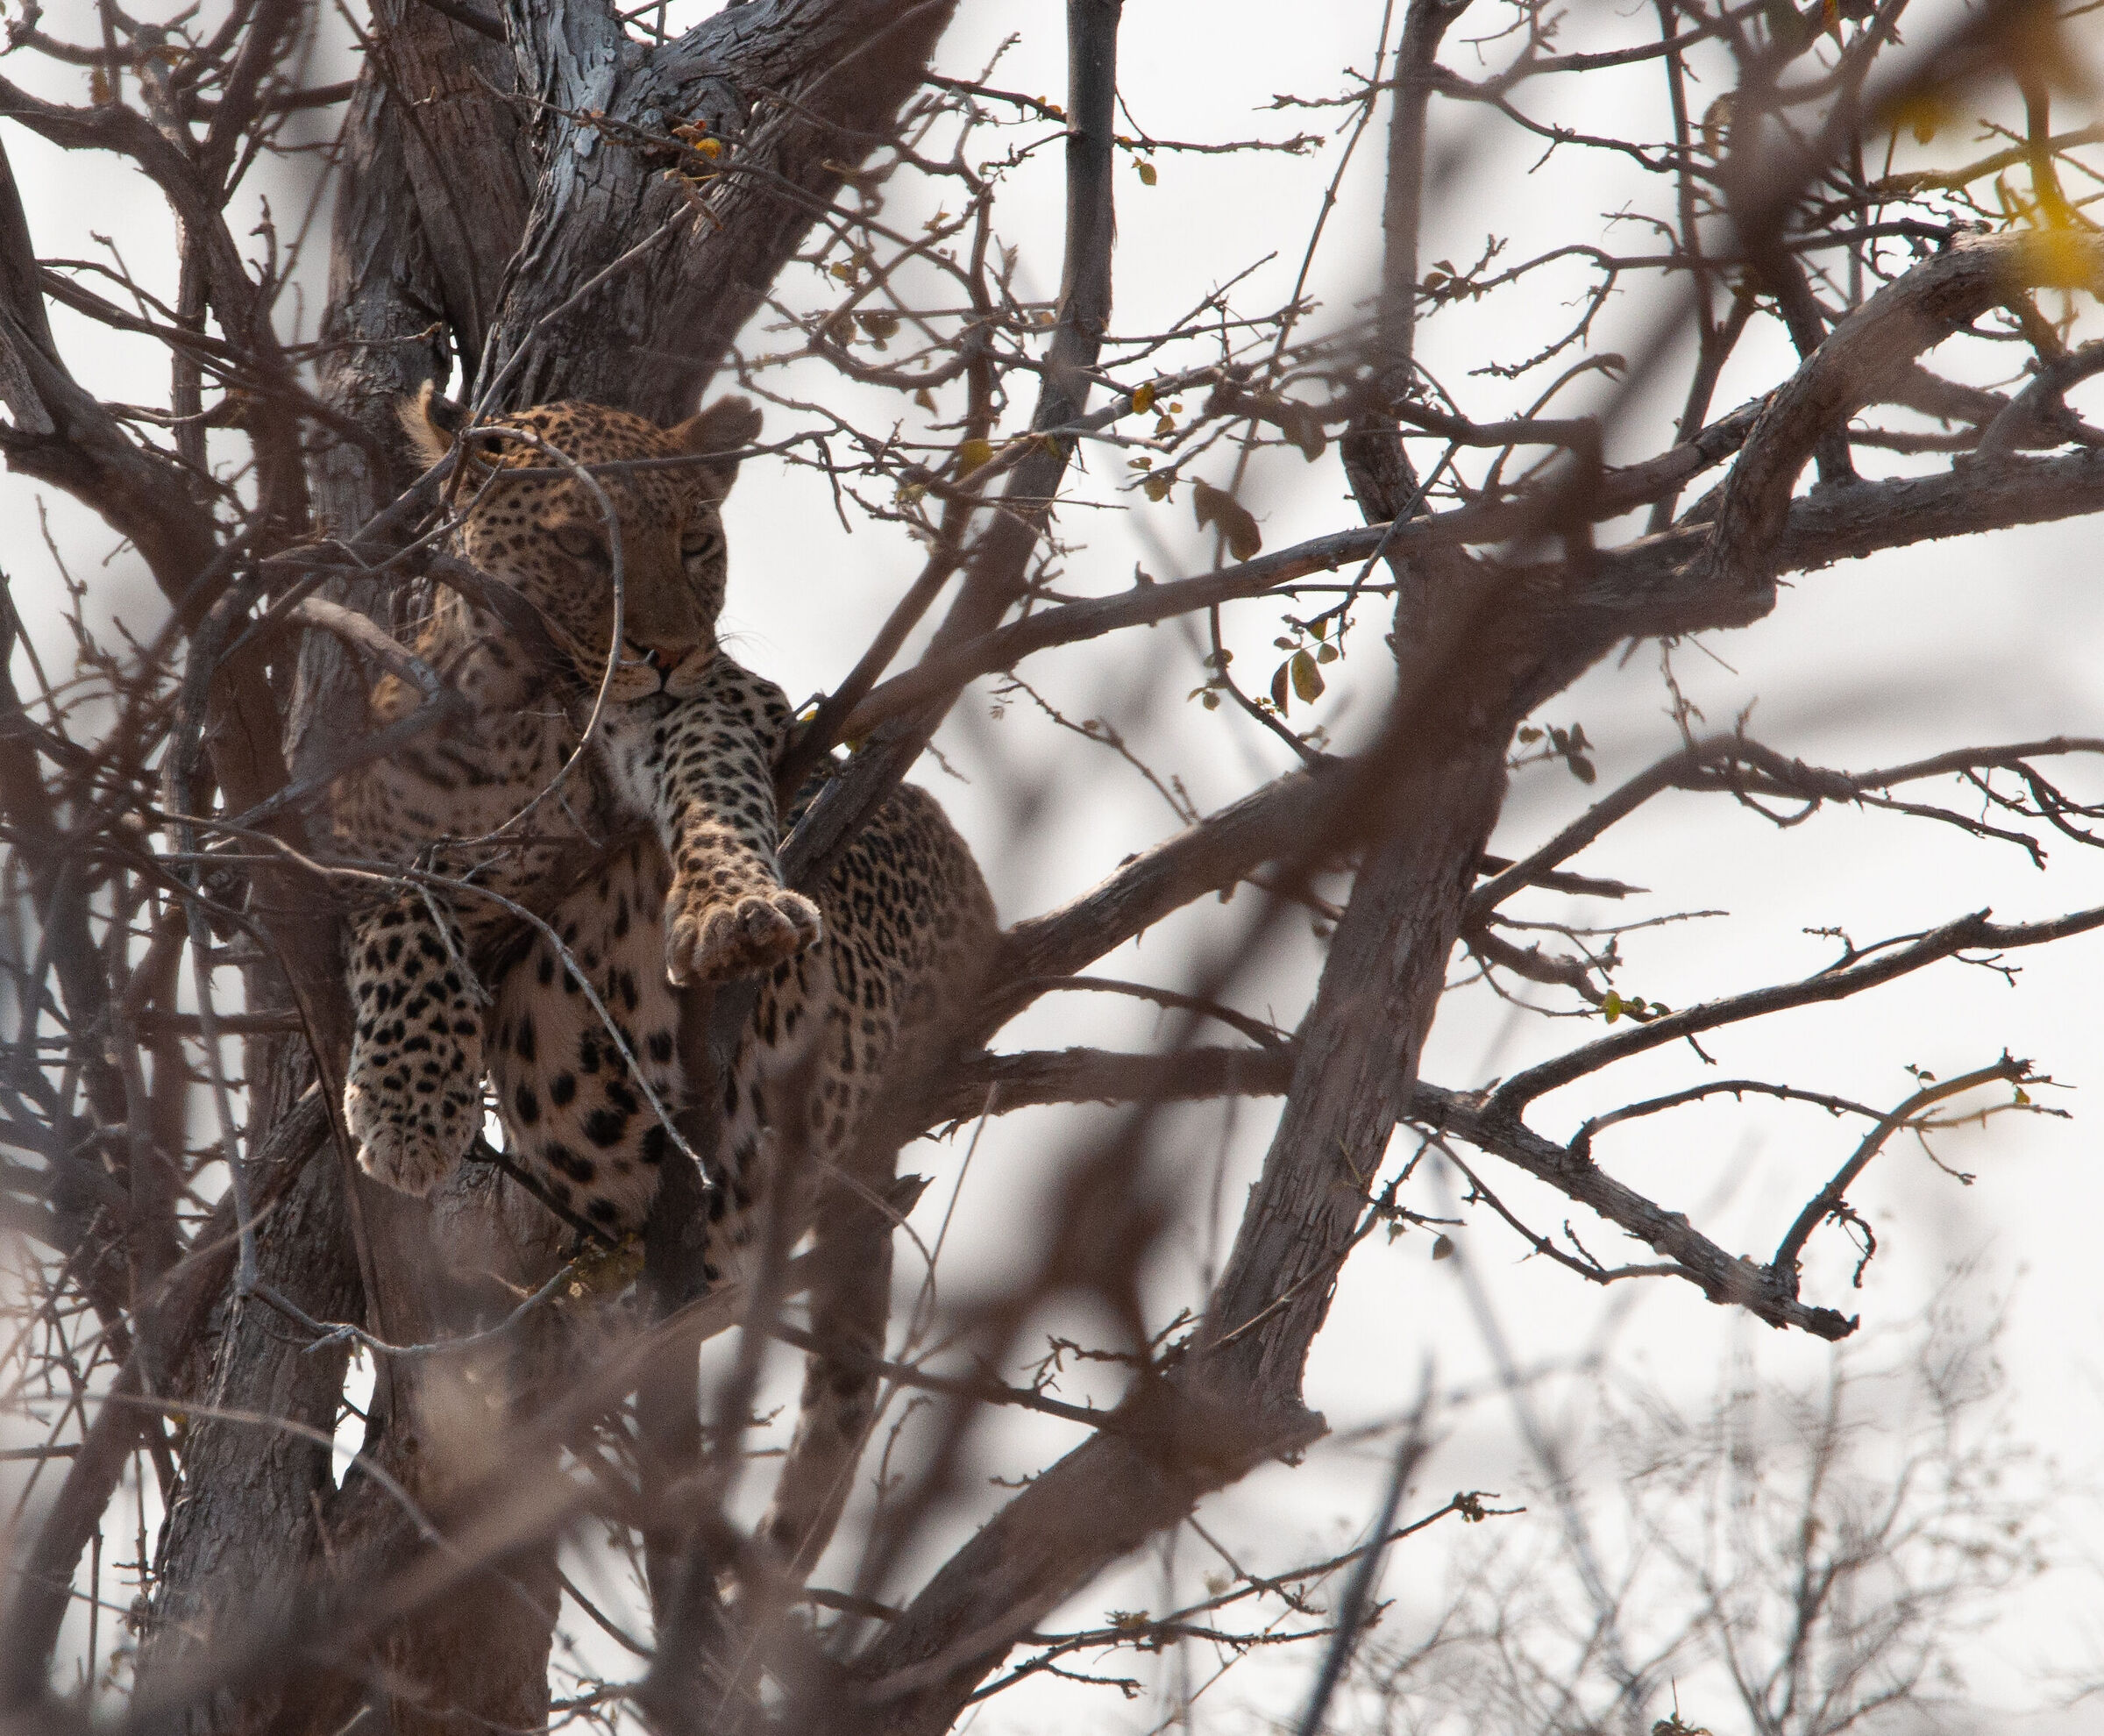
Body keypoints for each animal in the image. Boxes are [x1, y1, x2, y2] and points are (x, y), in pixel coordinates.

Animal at [329, 387, 996, 1568]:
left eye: (696, 543)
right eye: (582, 547)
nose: (671, 650)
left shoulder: (727, 704)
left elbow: (717, 784)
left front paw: (733, 909)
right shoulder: (354, 844)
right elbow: (410, 902)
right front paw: (409, 1107)